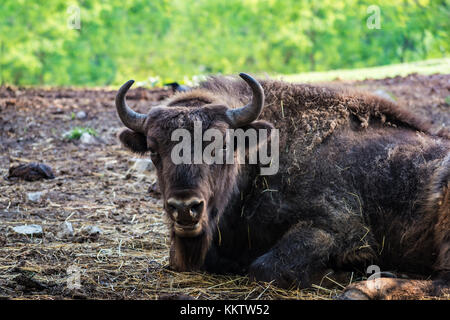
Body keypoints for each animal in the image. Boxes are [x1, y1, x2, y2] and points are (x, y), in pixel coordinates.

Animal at [115, 74, 446, 298]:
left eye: (222, 146)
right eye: (154, 150)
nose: (185, 209)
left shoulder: (337, 228)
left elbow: (265, 267)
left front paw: (340, 274)